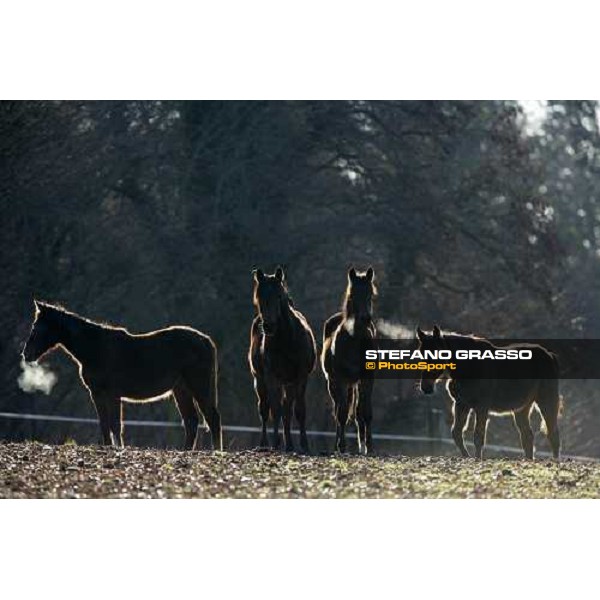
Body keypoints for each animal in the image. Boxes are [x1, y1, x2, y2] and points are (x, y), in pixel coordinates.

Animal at [21, 300, 224, 450]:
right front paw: (108, 448)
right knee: (191, 421)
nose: (26, 354)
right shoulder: (97, 394)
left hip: (198, 387)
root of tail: (206, 340)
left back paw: (216, 453)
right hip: (181, 390)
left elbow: (114, 425)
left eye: (37, 326)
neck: (95, 347)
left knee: (212, 419)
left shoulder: (112, 394)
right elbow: (105, 424)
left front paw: (118, 449)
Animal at [247, 264, 316, 452]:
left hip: (289, 383)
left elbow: (298, 410)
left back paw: (290, 444)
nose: (268, 326)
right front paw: (276, 443)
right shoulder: (272, 377)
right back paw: (264, 443)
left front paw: (304, 445)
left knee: (287, 409)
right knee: (265, 409)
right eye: (259, 297)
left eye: (279, 296)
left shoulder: (300, 377)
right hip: (260, 380)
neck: (286, 340)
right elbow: (275, 410)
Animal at [322, 268, 378, 454]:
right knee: (339, 410)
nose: (365, 318)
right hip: (334, 384)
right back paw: (338, 444)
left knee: (357, 412)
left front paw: (369, 446)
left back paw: (361, 446)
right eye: (353, 295)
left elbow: (365, 412)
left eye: (370, 294)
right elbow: (342, 414)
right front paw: (342, 446)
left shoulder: (367, 379)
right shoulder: (340, 380)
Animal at [414, 324, 560, 460]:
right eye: (421, 354)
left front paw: (477, 459)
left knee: (552, 433)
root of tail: (550, 356)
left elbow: (478, 436)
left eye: (436, 353)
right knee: (527, 436)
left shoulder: (481, 407)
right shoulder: (461, 404)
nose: (426, 387)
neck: (469, 367)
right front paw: (467, 457)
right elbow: (456, 433)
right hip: (522, 408)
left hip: (546, 400)